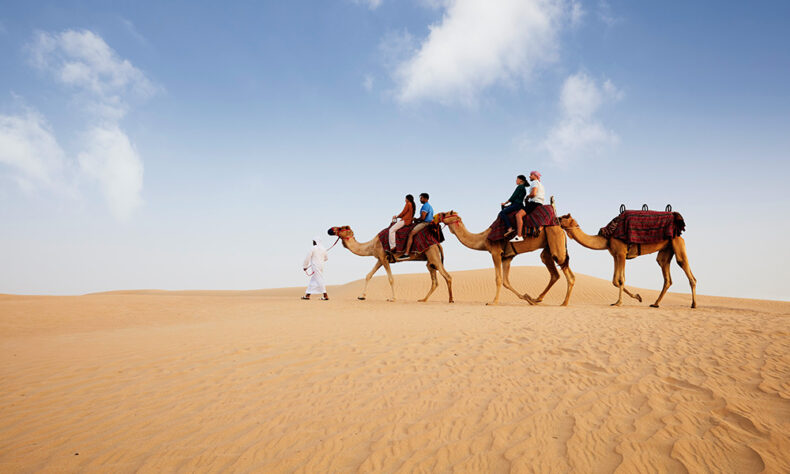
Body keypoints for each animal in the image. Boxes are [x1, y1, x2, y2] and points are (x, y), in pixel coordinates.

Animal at [434, 211, 576, 308]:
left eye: (445, 213)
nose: (436, 216)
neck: (483, 239)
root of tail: (560, 228)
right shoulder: (507, 257)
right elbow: (506, 281)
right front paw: (526, 297)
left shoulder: (496, 253)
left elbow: (498, 279)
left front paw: (493, 302)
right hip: (548, 248)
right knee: (555, 273)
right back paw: (537, 299)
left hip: (556, 244)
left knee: (568, 274)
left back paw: (564, 303)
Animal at [556, 214, 700, 310]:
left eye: (564, 217)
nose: (556, 219)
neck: (607, 238)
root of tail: (679, 232)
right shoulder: (616, 255)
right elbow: (615, 280)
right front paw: (638, 297)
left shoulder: (621, 253)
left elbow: (620, 280)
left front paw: (619, 303)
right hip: (666, 250)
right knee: (665, 271)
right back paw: (655, 303)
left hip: (677, 243)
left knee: (685, 267)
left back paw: (694, 304)